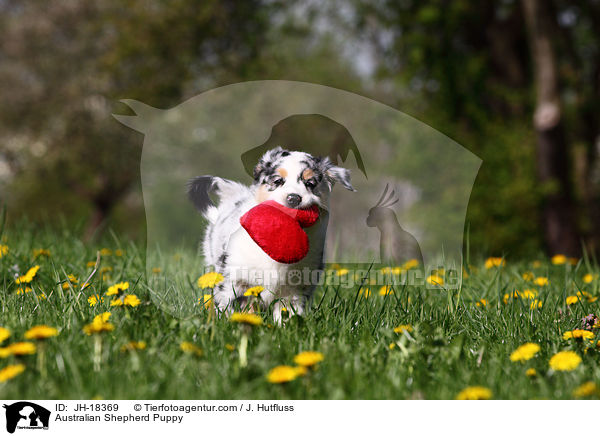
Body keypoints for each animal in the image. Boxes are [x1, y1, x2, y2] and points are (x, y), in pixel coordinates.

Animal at [188, 146, 354, 320]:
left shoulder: (296, 290)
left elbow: (288, 316)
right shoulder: (233, 278)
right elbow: (227, 304)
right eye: (278, 181)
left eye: (310, 183)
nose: (293, 198)